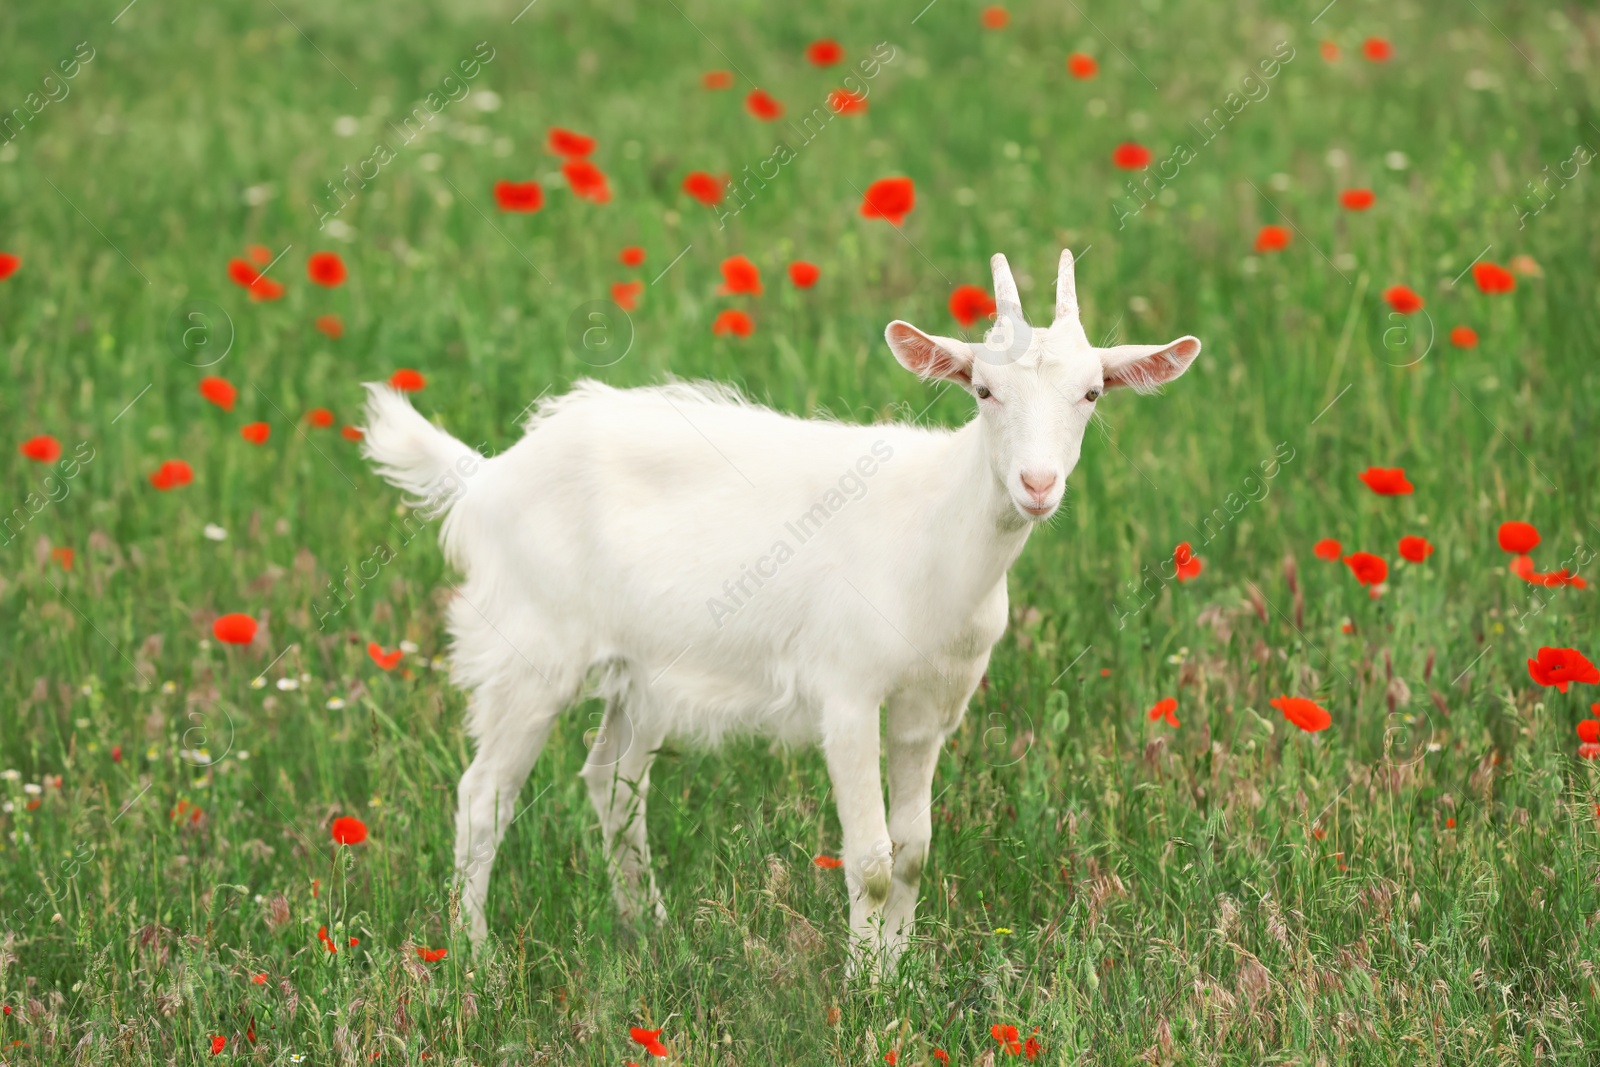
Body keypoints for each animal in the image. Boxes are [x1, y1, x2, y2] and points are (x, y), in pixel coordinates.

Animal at [363, 252, 1203, 966]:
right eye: (983, 390)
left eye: (1091, 393)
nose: (1037, 484)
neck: (938, 525)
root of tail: (485, 476)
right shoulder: (847, 691)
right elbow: (870, 859)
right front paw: (862, 989)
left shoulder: (930, 705)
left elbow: (912, 852)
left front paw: (899, 975)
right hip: (532, 651)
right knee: (484, 796)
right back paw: (476, 960)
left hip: (646, 668)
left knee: (613, 780)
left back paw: (650, 929)